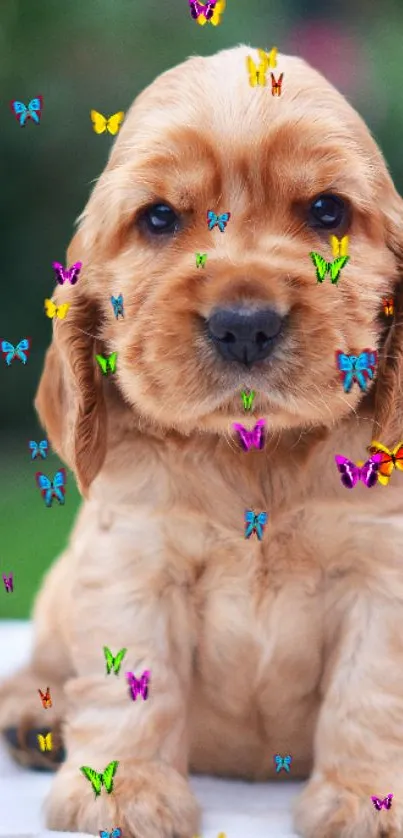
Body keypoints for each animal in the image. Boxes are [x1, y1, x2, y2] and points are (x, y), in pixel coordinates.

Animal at [0, 44, 403, 838]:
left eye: (327, 211)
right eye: (158, 218)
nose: (244, 324)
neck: (253, 452)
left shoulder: (381, 572)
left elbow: (369, 693)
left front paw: (365, 796)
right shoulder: (132, 563)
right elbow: (131, 687)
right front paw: (122, 792)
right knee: (45, 663)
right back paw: (33, 720)